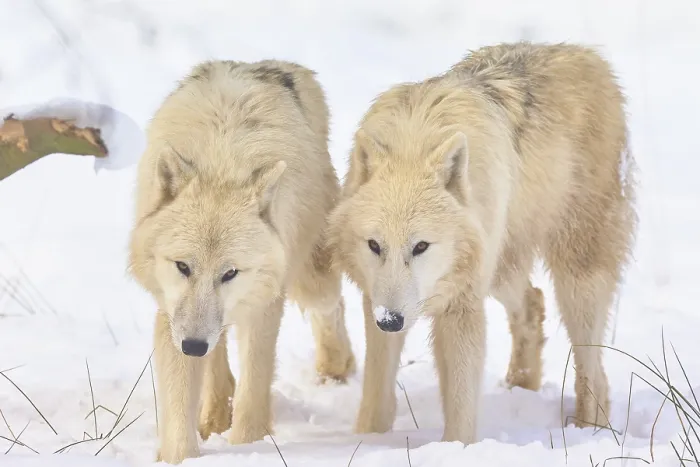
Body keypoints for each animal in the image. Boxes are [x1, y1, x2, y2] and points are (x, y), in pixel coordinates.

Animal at [128, 59, 356, 464]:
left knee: (331, 305)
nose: (193, 347)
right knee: (218, 359)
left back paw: (335, 368)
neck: (222, 162)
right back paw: (215, 415)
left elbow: (253, 389)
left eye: (230, 272)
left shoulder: (262, 304)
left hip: (312, 280)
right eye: (182, 267)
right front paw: (182, 454)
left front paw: (247, 447)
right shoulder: (172, 316)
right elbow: (179, 405)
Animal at [326, 42, 637, 445]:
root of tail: (586, 54)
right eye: (374, 246)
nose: (392, 321)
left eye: (421, 246)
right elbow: (377, 393)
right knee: (533, 302)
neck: (415, 140)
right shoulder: (375, 299)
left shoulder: (462, 305)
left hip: (574, 279)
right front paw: (368, 440)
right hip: (499, 268)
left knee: (594, 368)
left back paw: (589, 432)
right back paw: (521, 386)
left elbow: (460, 402)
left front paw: (455, 449)